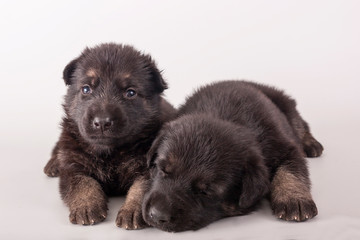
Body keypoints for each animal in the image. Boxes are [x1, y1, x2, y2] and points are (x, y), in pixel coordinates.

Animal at [43, 42, 176, 229]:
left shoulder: (151, 168)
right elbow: (83, 183)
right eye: (86, 89)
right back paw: (53, 164)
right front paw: (87, 205)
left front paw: (132, 211)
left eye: (130, 93)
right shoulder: (72, 165)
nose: (102, 122)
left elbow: (142, 188)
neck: (109, 151)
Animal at [142, 80, 322, 232]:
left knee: (300, 124)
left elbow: (291, 171)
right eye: (162, 169)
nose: (157, 215)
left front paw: (294, 199)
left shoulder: (285, 148)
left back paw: (312, 144)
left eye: (205, 191)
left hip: (287, 108)